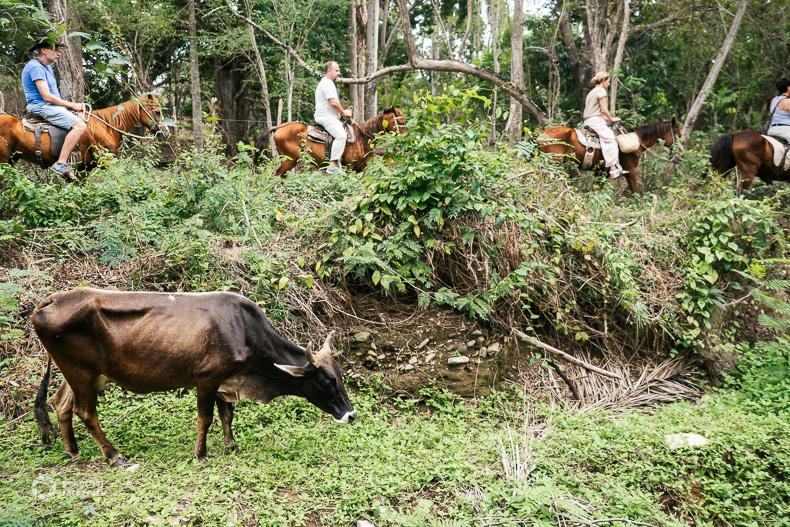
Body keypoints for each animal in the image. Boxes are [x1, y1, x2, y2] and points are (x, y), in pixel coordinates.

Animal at [0, 94, 169, 177]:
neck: (105, 127)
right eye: (157, 112)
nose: (166, 132)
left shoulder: (83, 169)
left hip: (11, 160)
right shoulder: (107, 162)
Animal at [32, 288, 356, 466]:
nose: (351, 415)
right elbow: (206, 418)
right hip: (81, 373)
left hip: (76, 373)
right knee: (86, 412)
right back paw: (113, 455)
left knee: (61, 404)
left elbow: (227, 414)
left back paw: (72, 451)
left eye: (340, 376)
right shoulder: (206, 380)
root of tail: (50, 301)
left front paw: (231, 445)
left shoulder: (225, 381)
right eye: (326, 381)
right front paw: (201, 453)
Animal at [253, 105, 405, 177]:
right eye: (400, 122)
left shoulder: (361, 168)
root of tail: (279, 127)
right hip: (290, 159)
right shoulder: (349, 167)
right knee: (277, 175)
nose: (405, 138)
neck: (362, 138)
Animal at [536, 118, 681, 193]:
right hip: (553, 165)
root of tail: (542, 132)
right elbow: (635, 192)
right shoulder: (630, 169)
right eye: (678, 133)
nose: (680, 155)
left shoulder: (603, 172)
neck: (638, 140)